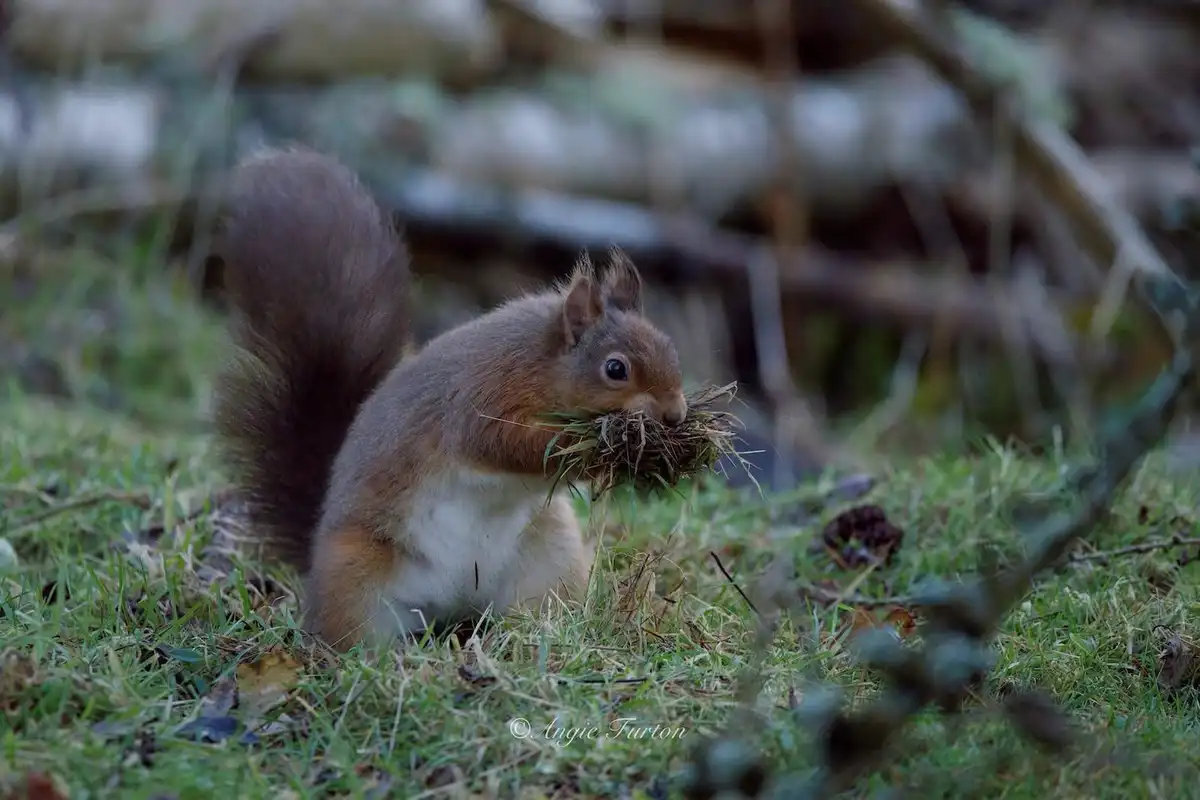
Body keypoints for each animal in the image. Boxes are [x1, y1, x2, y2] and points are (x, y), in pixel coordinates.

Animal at [211, 146, 688, 651]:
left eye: (670, 346)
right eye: (615, 369)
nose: (676, 414)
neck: (540, 365)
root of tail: (450, 608)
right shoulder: (482, 396)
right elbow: (499, 443)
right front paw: (592, 451)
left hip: (549, 555)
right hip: (355, 573)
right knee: (352, 630)